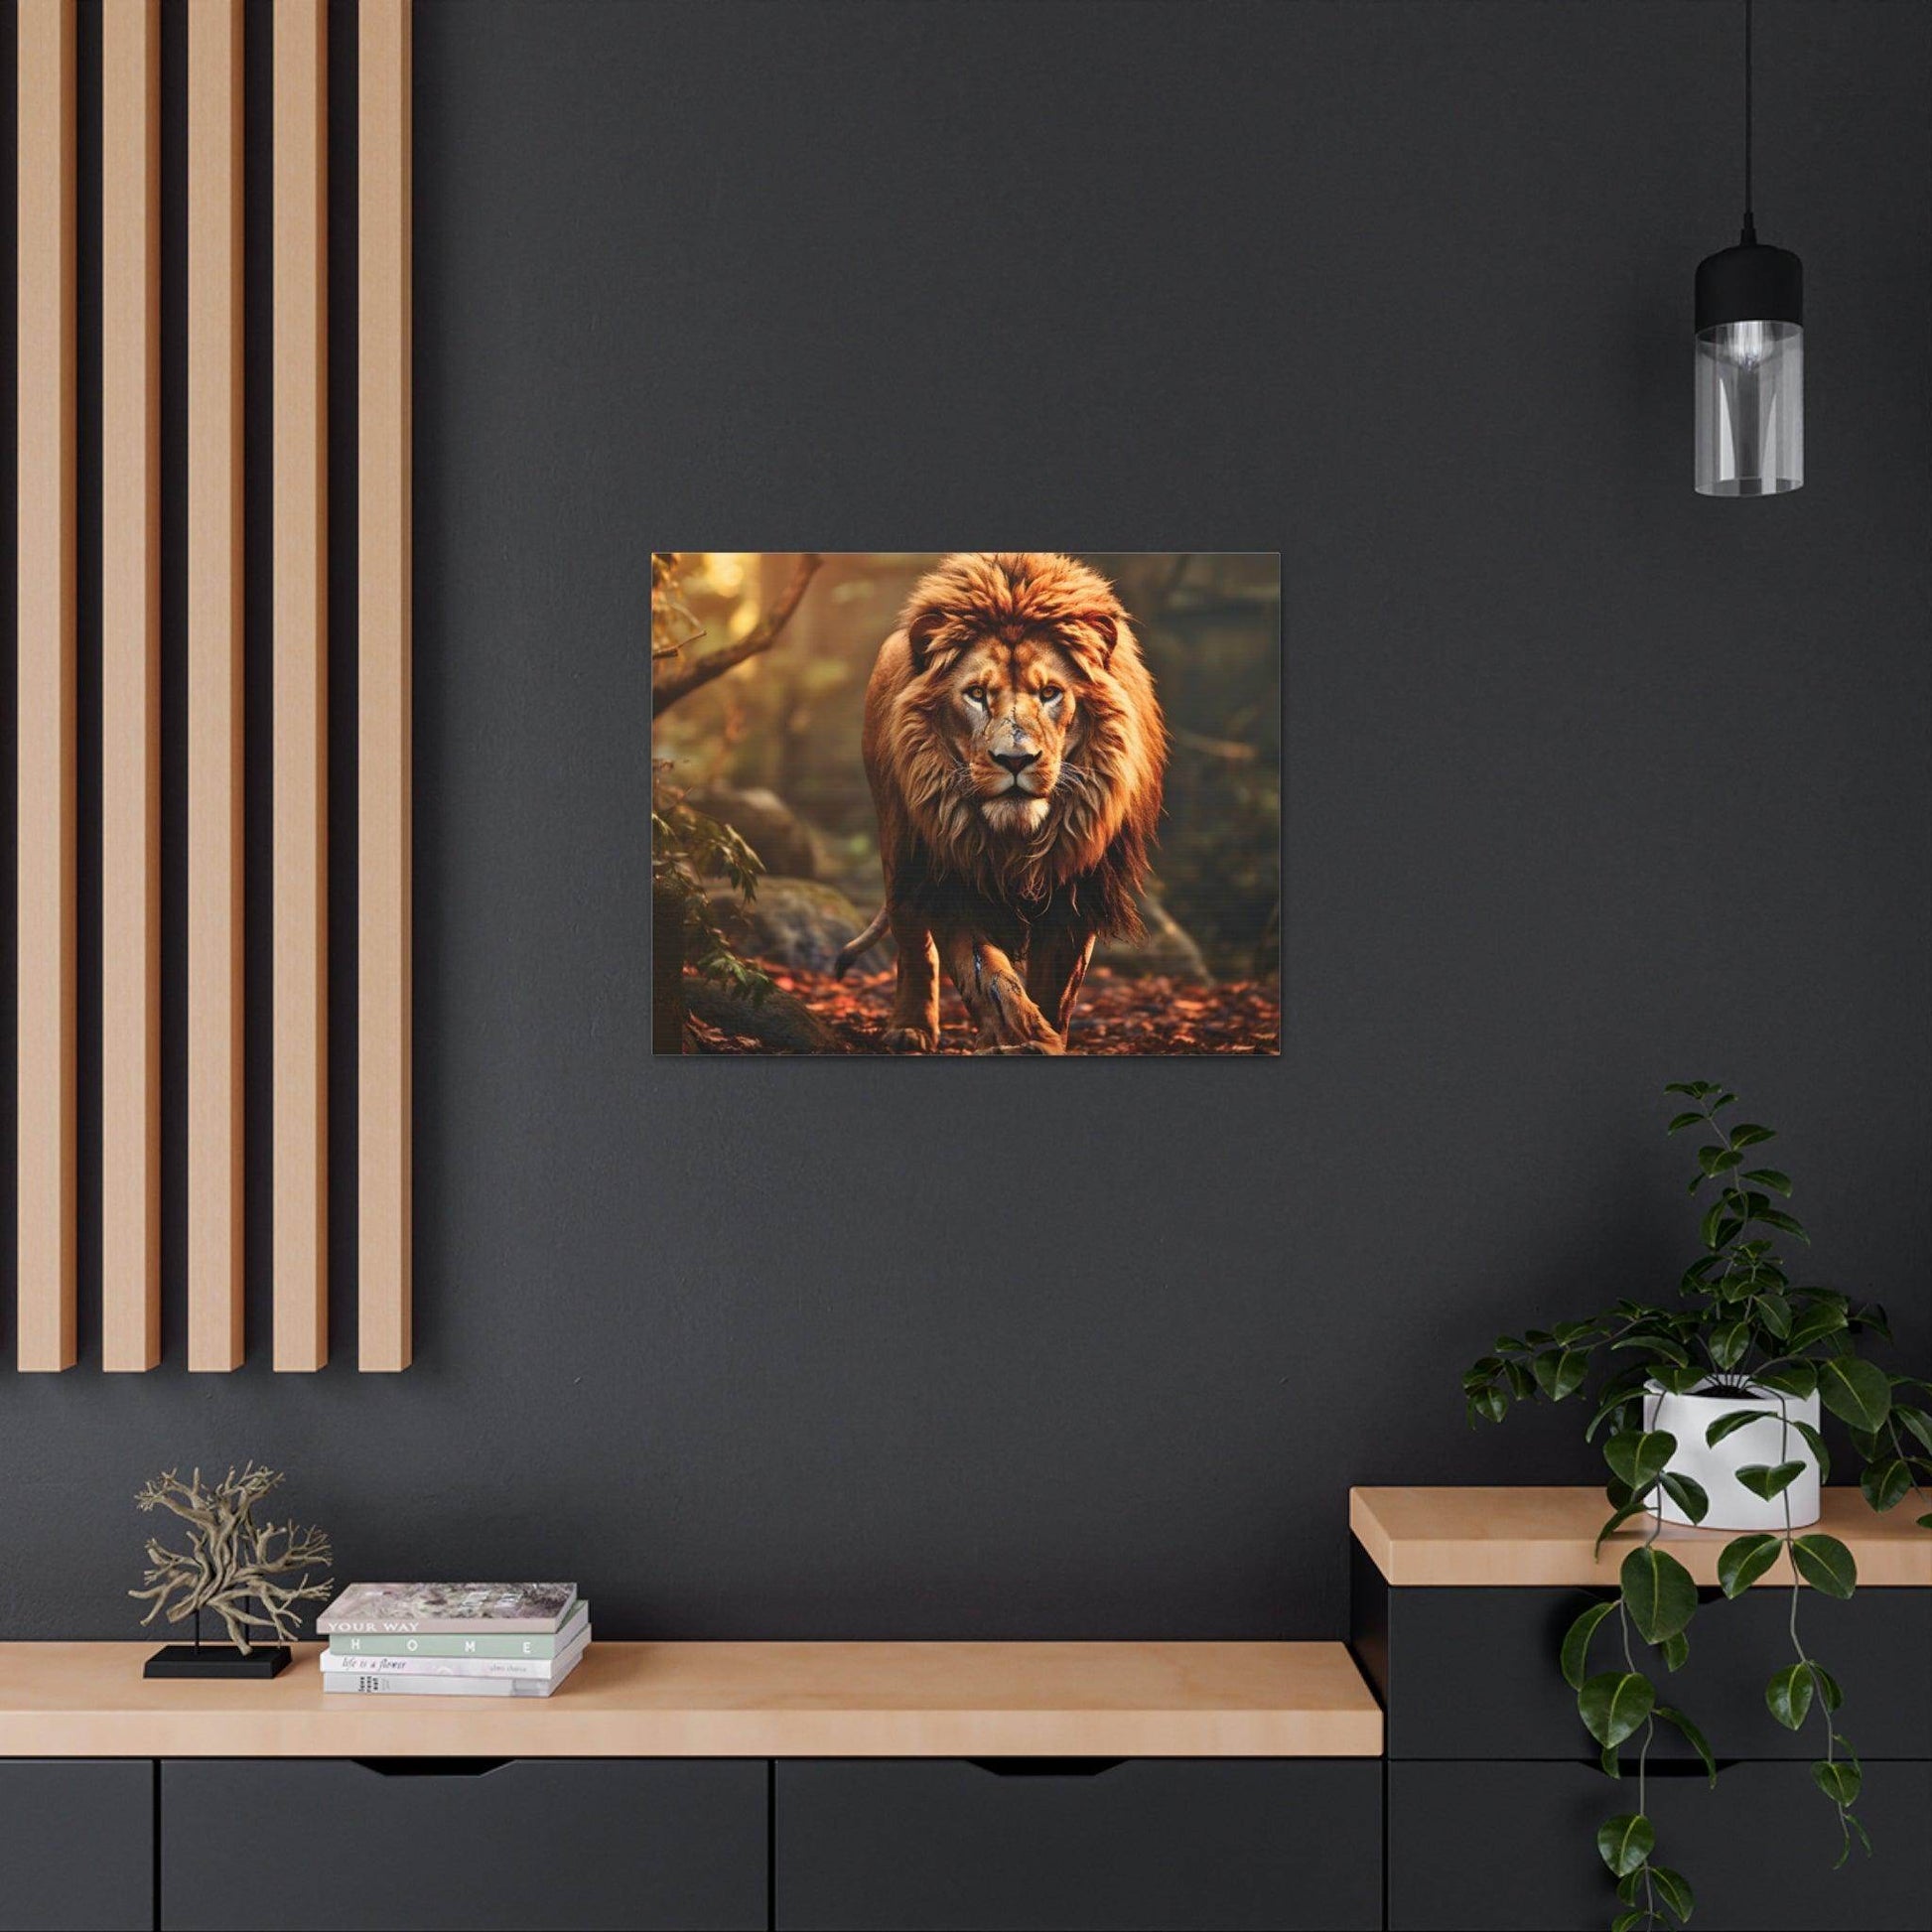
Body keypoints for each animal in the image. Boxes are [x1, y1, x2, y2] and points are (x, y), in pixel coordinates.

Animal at [834, 552, 1167, 1054]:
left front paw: (1045, 1039)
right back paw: (910, 1028)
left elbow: (1056, 986)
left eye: (1049, 693)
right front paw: (1017, 1035)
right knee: (912, 941)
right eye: (976, 694)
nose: (1015, 759)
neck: (1016, 839)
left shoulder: (1077, 887)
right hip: (900, 845)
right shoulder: (948, 874)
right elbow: (986, 975)